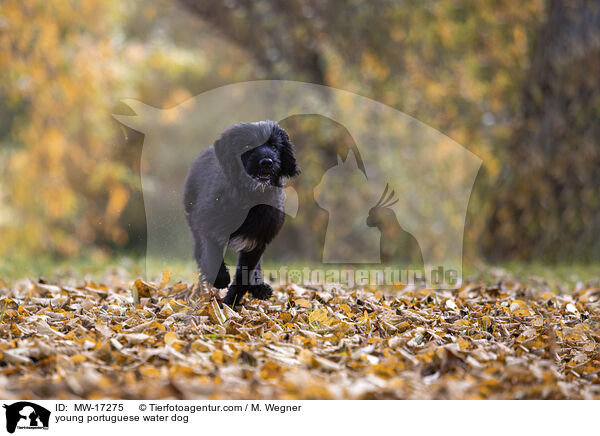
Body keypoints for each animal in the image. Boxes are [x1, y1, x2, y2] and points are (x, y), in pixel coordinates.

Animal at [180, 121, 298, 306]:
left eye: (274, 146)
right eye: (247, 146)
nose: (267, 162)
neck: (249, 198)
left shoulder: (257, 239)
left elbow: (245, 275)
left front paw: (231, 303)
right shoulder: (210, 228)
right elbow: (211, 255)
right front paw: (221, 279)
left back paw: (259, 287)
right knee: (199, 250)